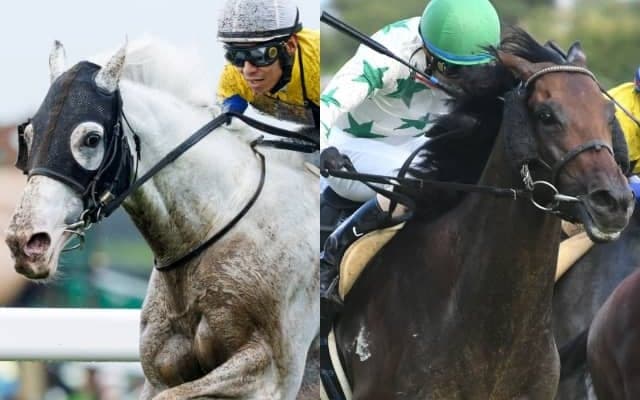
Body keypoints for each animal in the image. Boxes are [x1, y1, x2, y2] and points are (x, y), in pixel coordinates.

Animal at [4, 38, 319, 400]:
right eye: (29, 135)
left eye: (91, 139)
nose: (25, 243)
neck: (211, 227)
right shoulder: (160, 372)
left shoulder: (267, 374)